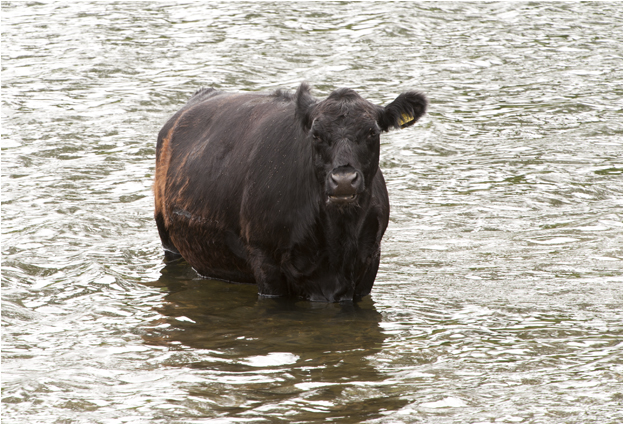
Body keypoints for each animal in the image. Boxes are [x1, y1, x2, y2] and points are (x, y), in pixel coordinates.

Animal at [155, 83, 428, 302]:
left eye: (372, 132)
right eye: (316, 135)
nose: (343, 180)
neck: (337, 238)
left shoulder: (369, 258)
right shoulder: (264, 258)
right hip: (168, 238)